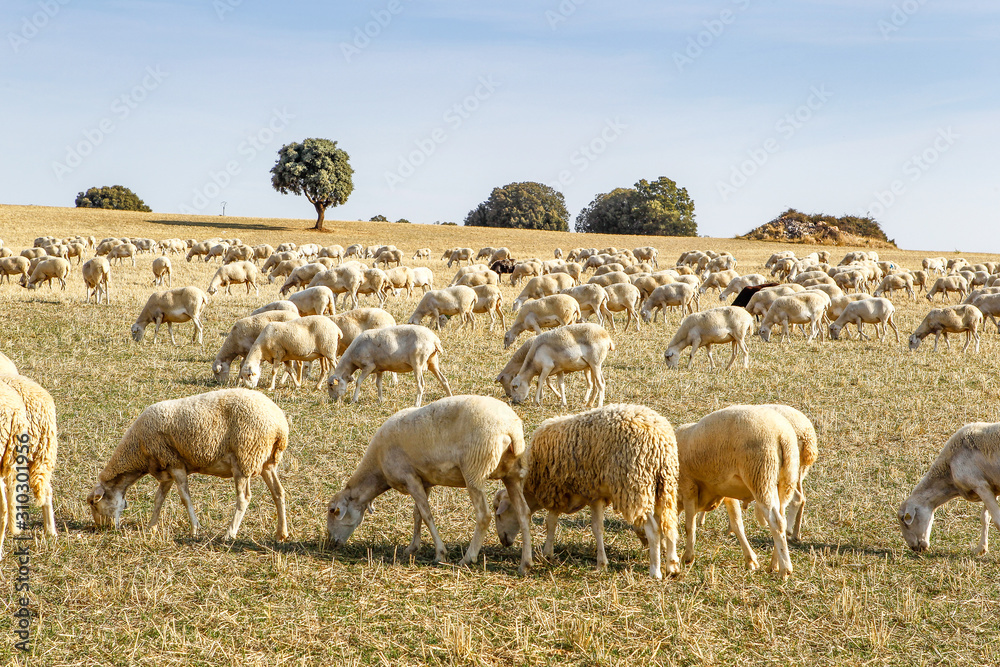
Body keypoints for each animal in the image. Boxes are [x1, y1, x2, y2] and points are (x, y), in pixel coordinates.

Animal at [87, 389, 289, 541]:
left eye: (94, 504)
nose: (104, 529)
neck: (138, 449)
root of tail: (280, 425)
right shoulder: (166, 469)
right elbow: (159, 498)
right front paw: (151, 527)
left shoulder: (175, 463)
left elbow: (185, 498)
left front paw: (195, 529)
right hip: (267, 463)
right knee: (278, 492)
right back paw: (281, 533)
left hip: (244, 459)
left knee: (244, 498)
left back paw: (229, 534)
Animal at [327, 395, 533, 573]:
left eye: (333, 511)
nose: (331, 543)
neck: (377, 467)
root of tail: (511, 429)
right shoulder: (423, 481)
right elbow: (417, 514)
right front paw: (412, 548)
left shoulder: (409, 478)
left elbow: (426, 515)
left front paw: (440, 553)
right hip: (512, 474)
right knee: (523, 512)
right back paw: (525, 564)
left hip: (474, 470)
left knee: (484, 515)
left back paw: (468, 558)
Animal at [492, 404, 679, 578]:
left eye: (498, 513)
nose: (504, 542)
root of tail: (660, 439)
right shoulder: (595, 496)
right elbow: (597, 528)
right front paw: (602, 563)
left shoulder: (556, 491)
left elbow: (551, 522)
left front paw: (547, 553)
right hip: (665, 486)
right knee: (669, 524)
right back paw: (672, 566)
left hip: (635, 487)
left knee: (654, 529)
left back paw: (655, 571)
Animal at [675, 405, 799, 578]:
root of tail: (782, 435)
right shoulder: (726, 492)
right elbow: (737, 523)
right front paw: (750, 560)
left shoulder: (688, 486)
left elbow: (689, 525)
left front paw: (687, 557)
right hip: (784, 480)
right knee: (782, 519)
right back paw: (774, 564)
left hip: (761, 475)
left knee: (776, 522)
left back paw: (784, 570)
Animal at [898, 421, 1000, 556]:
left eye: (904, 520)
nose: (914, 548)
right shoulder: (990, 487)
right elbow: (985, 518)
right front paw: (981, 549)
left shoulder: (979, 484)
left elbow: (997, 520)